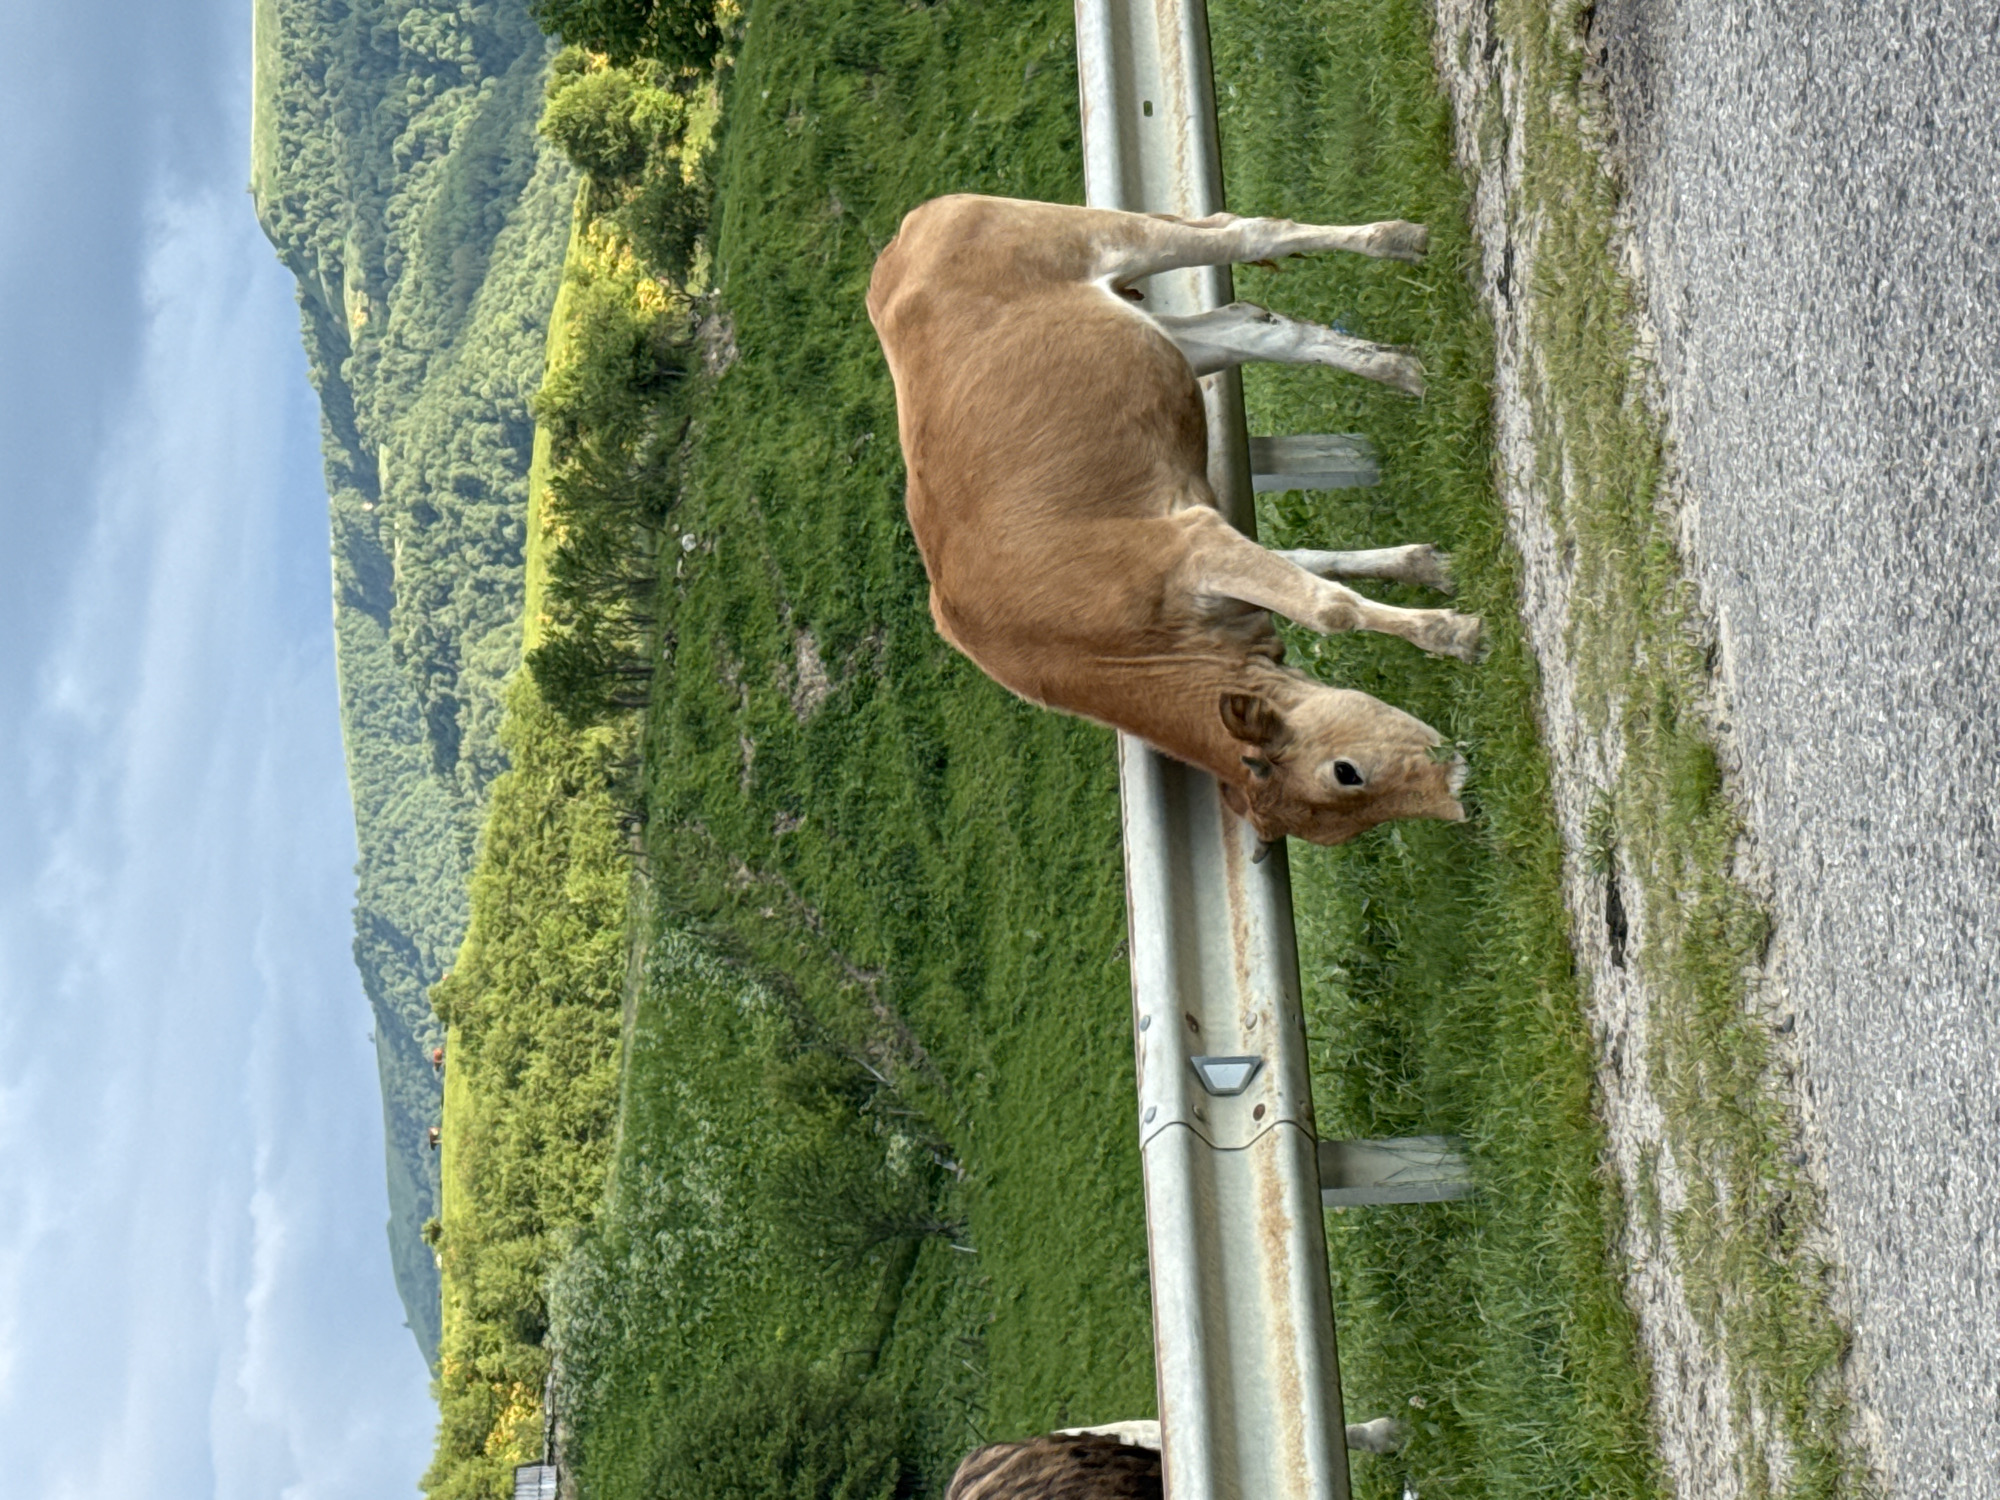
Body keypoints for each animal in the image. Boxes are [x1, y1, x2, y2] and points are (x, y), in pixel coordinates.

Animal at [866, 195, 1480, 847]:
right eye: (1347, 778)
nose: (1459, 791)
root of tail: (906, 235)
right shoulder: (1202, 528)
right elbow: (1320, 569)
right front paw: (1431, 568)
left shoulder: (1193, 548)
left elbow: (1328, 607)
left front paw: (1456, 633)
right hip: (1171, 341)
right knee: (1250, 325)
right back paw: (1404, 371)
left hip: (1099, 235)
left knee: (1249, 232)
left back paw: (1403, 242)